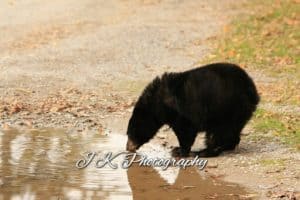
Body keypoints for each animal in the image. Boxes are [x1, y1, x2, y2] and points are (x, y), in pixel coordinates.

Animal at [125, 63, 258, 157]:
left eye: (130, 133)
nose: (128, 147)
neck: (158, 103)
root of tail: (252, 91)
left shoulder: (182, 112)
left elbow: (185, 131)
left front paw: (179, 151)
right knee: (230, 131)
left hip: (226, 109)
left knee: (219, 132)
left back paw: (204, 152)